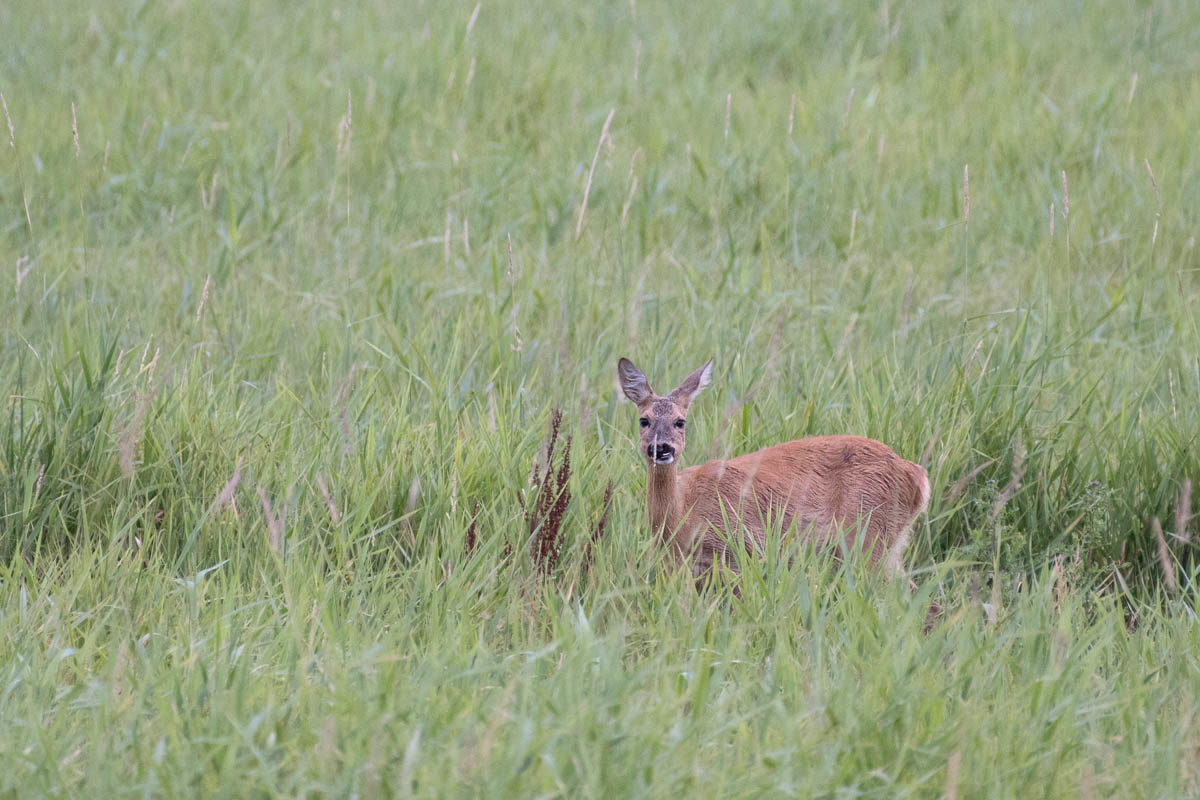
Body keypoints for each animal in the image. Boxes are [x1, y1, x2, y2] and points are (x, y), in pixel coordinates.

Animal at [614, 359, 931, 578]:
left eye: (680, 421)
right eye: (644, 420)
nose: (661, 448)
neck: (682, 513)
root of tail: (917, 476)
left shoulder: (742, 550)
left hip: (867, 536)